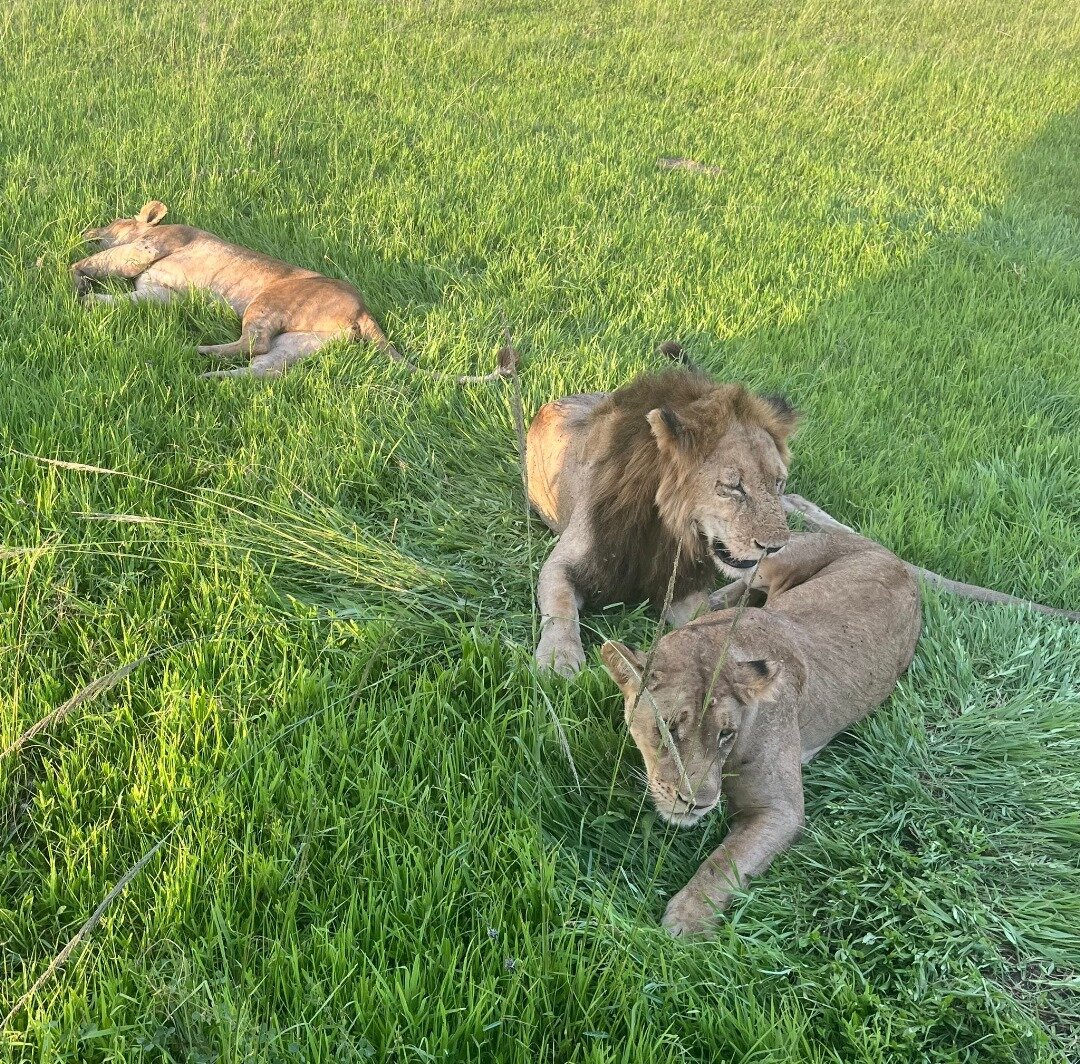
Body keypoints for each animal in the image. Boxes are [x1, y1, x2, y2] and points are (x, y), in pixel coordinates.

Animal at [73, 201, 511, 382]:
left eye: (116, 218)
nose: (87, 229)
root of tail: (362, 309)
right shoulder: (158, 291)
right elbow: (127, 295)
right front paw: (93, 298)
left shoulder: (156, 245)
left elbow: (107, 260)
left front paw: (78, 280)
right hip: (304, 340)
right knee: (266, 366)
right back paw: (209, 375)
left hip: (268, 302)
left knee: (256, 345)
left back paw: (195, 353)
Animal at [526, 368, 799, 675]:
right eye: (733, 487)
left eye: (778, 482)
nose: (776, 547)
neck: (666, 527)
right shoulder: (567, 562)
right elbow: (560, 608)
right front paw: (558, 660)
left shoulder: (679, 581)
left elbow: (701, 617)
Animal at [600, 530, 921, 936]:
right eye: (668, 729)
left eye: (726, 734)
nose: (699, 804)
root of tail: (896, 558)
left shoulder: (779, 810)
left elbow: (725, 862)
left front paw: (686, 920)